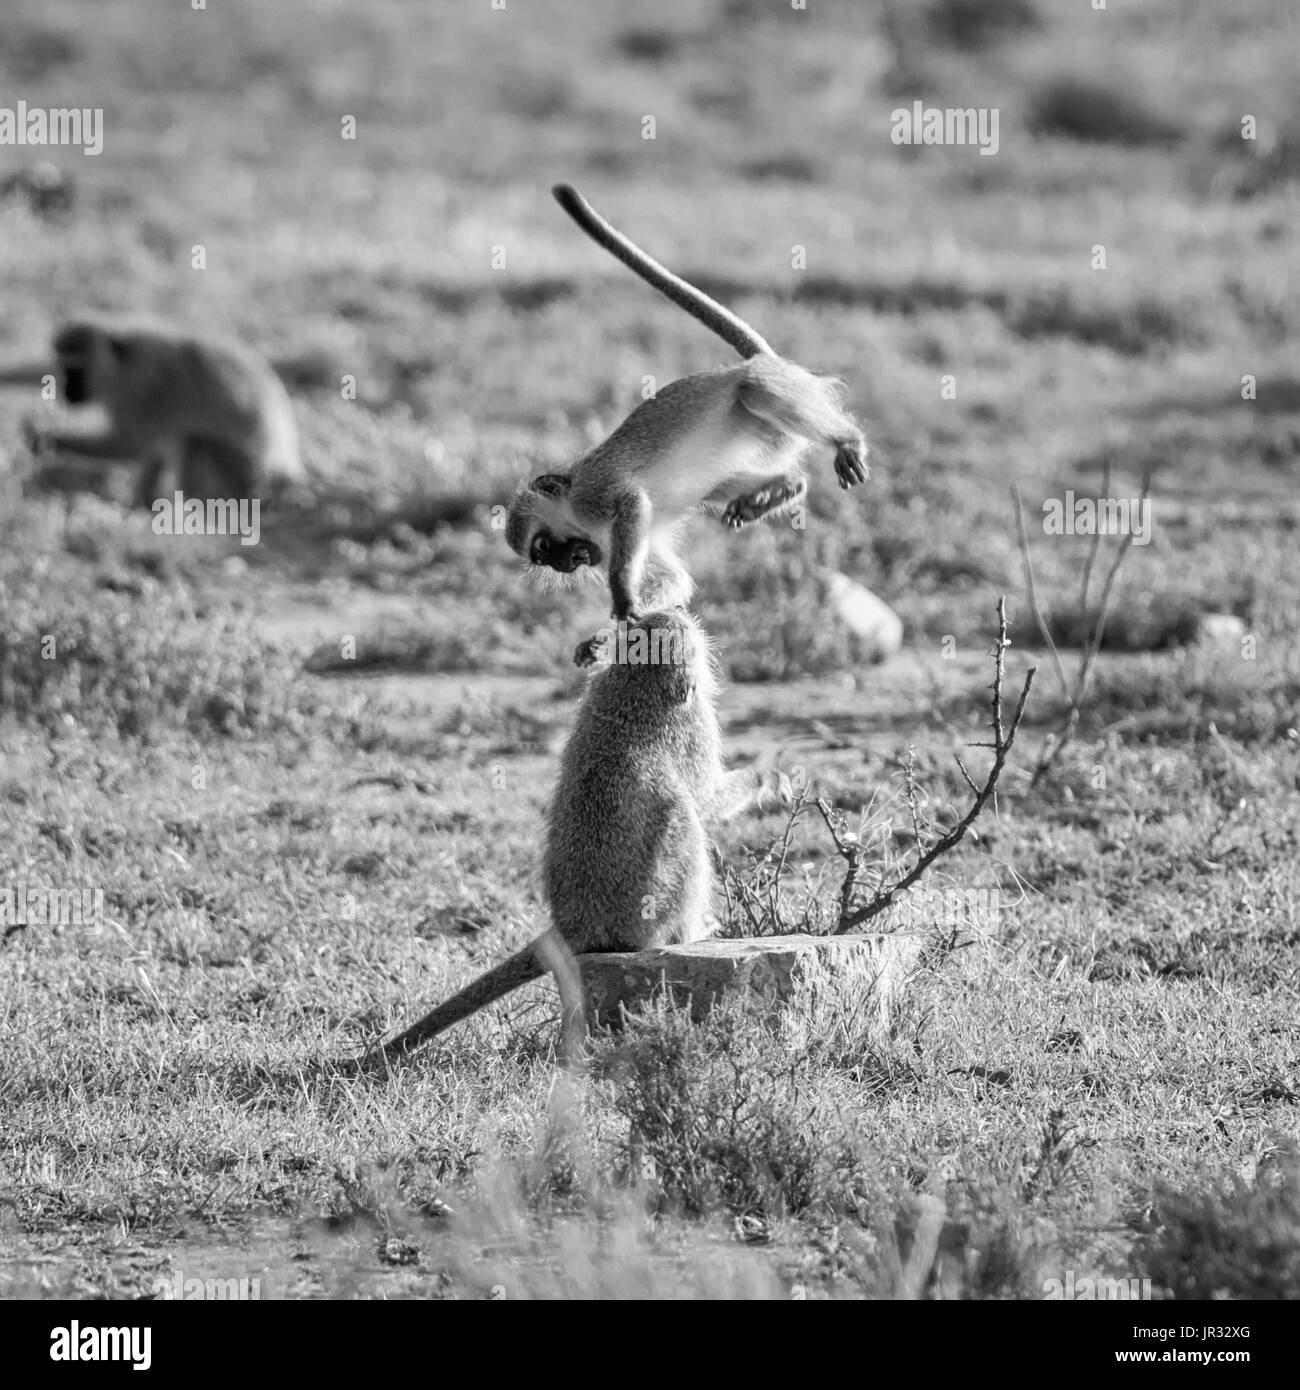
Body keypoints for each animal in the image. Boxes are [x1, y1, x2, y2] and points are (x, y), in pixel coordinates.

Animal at [0, 318, 304, 505]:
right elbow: (147, 447)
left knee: (191, 438)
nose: (65, 391)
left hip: (241, 469)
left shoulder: (142, 389)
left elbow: (130, 445)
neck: (122, 362)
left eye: (76, 370)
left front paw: (42, 437)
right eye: (63, 367)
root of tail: (282, 470)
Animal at [374, 607, 778, 1062]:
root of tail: (577, 923)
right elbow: (708, 799)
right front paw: (768, 778)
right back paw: (692, 933)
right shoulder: (694, 728)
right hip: (648, 910)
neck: (630, 689)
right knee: (683, 818)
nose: (676, 608)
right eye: (678, 635)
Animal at [505, 184, 869, 664]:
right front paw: (601, 638)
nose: (565, 564)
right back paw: (782, 489)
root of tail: (755, 361)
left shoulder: (594, 496)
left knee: (754, 391)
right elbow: (672, 580)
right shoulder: (617, 542)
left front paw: (621, 598)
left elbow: (632, 504)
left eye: (543, 547)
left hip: (778, 391)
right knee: (727, 484)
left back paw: (846, 441)